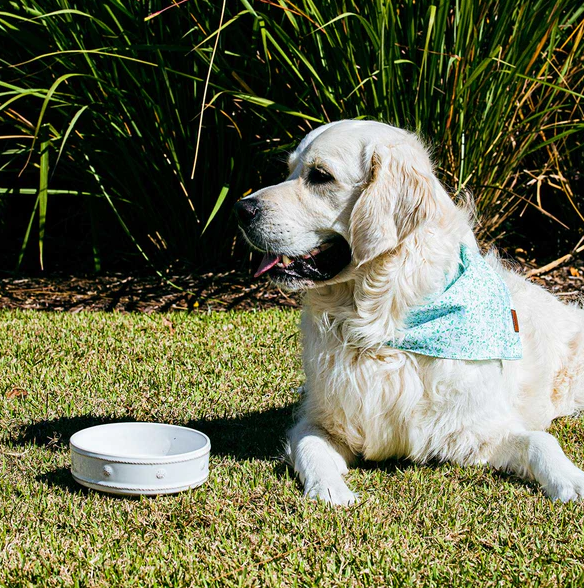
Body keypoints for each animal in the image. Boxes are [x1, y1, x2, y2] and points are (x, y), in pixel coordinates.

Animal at [235, 120, 584, 506]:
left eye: (320, 176)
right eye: (289, 170)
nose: (240, 209)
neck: (383, 326)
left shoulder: (477, 430)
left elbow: (540, 440)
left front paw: (571, 480)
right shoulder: (322, 422)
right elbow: (310, 445)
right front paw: (329, 489)